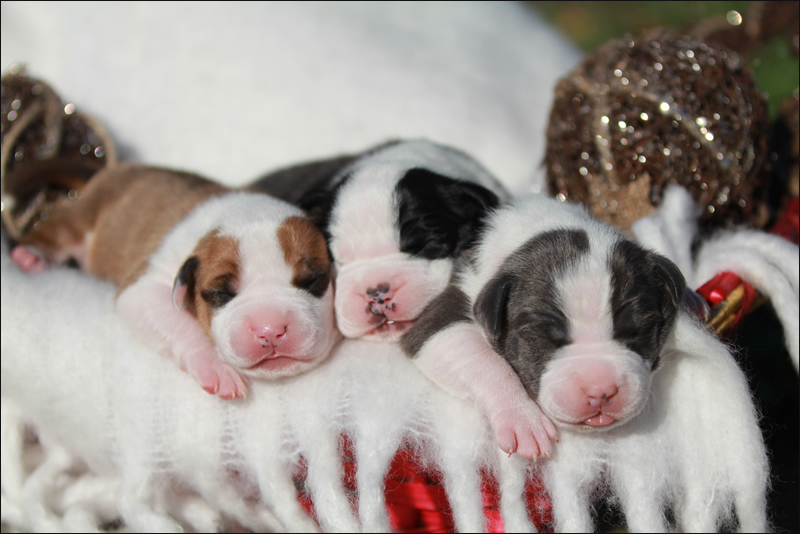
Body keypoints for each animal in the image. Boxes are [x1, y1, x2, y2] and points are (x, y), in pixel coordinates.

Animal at [10, 163, 340, 402]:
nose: (270, 330)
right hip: (87, 210)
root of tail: (116, 168)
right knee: (58, 225)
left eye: (314, 280)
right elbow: (181, 326)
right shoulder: (142, 287)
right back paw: (30, 255)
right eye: (220, 293)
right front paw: (216, 367)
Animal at [404, 195, 684, 462]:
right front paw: (522, 419)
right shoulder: (441, 317)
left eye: (639, 330)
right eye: (545, 338)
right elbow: (484, 362)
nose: (601, 391)